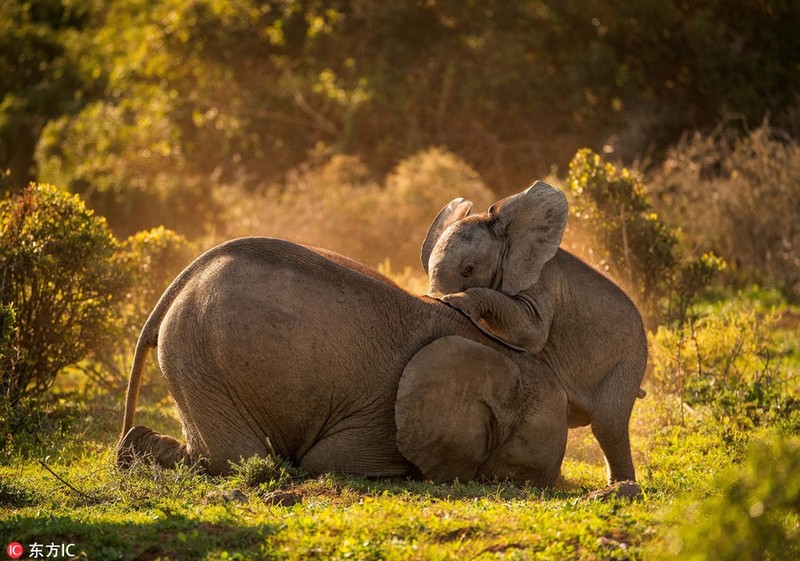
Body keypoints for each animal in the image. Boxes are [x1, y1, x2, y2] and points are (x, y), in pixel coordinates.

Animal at [117, 236, 568, 486]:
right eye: (523, 472)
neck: (496, 352)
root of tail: (180, 283)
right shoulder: (382, 417)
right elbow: (326, 462)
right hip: (199, 356)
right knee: (234, 458)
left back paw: (129, 452)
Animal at [422, 180, 648, 486]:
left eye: (468, 269)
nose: (433, 298)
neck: (510, 237)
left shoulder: (541, 283)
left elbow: (531, 333)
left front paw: (458, 302)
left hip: (628, 362)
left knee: (608, 424)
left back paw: (620, 487)